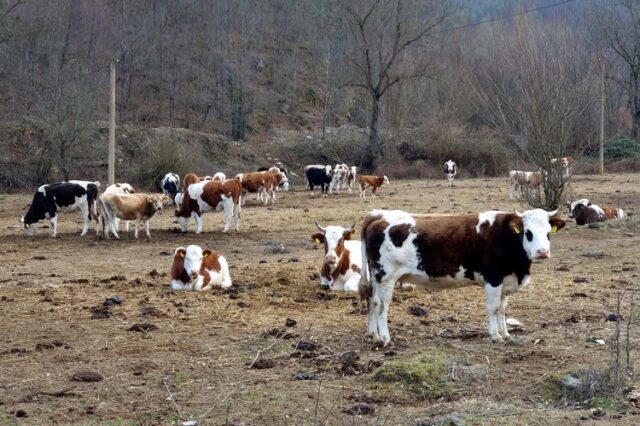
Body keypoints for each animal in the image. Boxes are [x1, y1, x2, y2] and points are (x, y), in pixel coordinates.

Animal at [360, 207, 564, 346]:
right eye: (528, 233)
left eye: (548, 233)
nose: (542, 252)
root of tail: (379, 215)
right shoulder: (493, 278)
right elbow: (494, 308)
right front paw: (495, 335)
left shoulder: (505, 281)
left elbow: (503, 309)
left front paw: (506, 334)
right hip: (387, 277)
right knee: (382, 305)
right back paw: (385, 338)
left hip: (377, 277)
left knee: (372, 301)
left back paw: (374, 336)